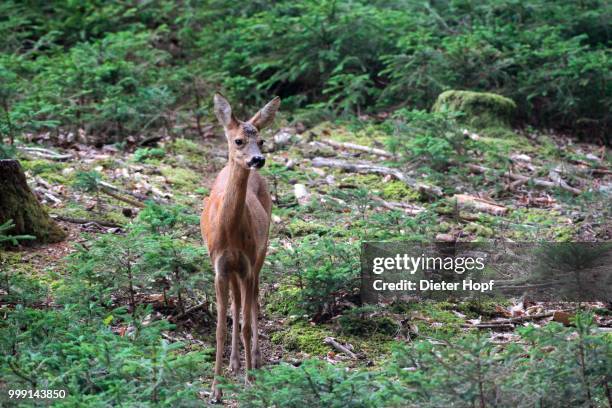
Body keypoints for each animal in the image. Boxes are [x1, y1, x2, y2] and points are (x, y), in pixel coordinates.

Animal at [201, 92, 280, 402]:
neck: (231, 233)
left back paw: (254, 359)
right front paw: (215, 389)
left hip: (262, 250)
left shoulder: (246, 264)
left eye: (262, 140)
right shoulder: (220, 267)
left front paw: (249, 381)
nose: (258, 159)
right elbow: (221, 327)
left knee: (255, 297)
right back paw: (235, 362)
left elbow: (246, 323)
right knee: (237, 302)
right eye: (238, 141)